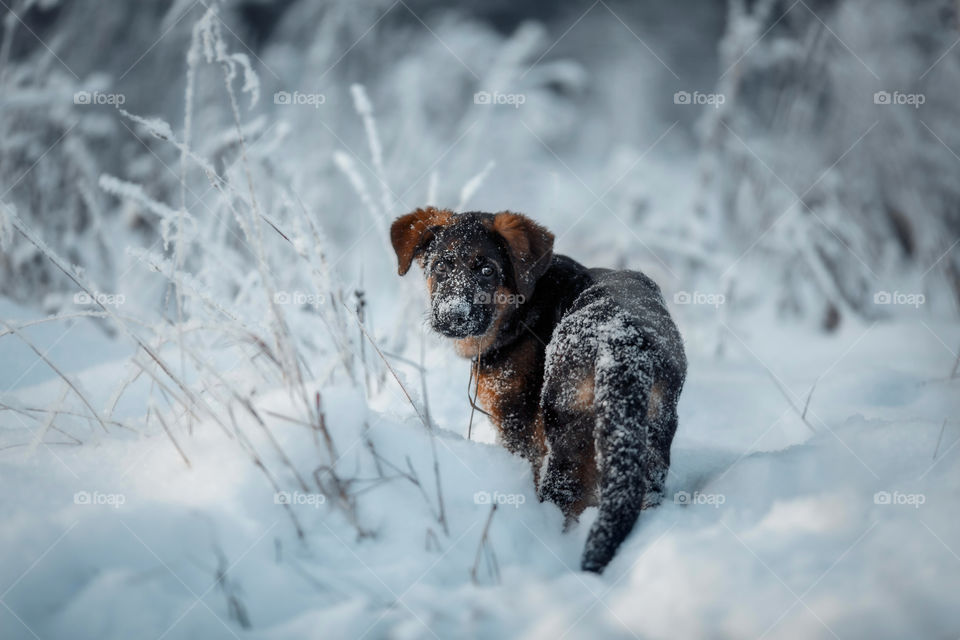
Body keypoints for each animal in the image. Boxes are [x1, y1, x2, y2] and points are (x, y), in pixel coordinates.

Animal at [394, 206, 688, 568]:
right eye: (440, 266)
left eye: (487, 270)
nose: (453, 317)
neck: (519, 309)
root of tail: (619, 339)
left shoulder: (516, 425)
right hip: (653, 431)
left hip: (565, 435)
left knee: (564, 497)